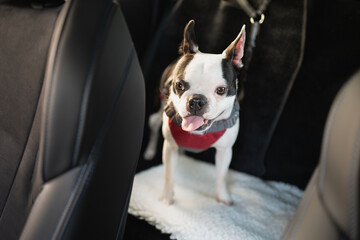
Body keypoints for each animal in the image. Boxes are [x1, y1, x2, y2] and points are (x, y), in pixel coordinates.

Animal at [143, 19, 245, 205]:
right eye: (179, 85)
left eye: (221, 90)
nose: (196, 101)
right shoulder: (170, 147)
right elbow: (169, 175)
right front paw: (167, 199)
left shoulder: (225, 151)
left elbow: (221, 176)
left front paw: (223, 197)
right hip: (158, 112)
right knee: (153, 125)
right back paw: (150, 151)